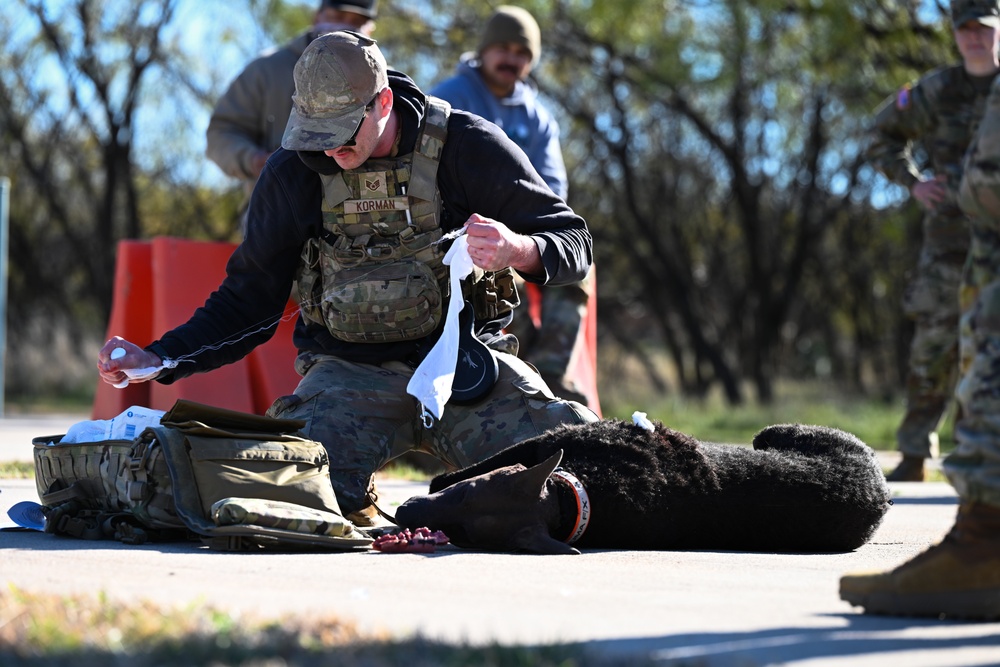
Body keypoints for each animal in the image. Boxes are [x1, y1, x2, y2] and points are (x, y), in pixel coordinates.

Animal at [390, 420, 892, 556]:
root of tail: (884, 493)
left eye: (467, 504)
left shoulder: (553, 439)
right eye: (460, 529)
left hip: (777, 432)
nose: (403, 513)